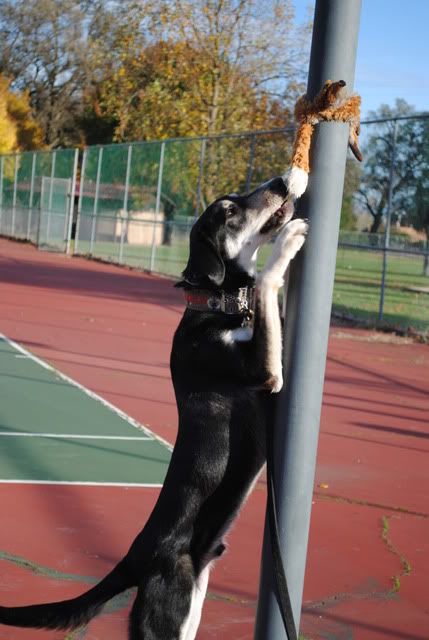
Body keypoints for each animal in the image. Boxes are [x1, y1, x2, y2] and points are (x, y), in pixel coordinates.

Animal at [0, 176, 308, 639]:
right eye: (229, 211)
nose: (277, 182)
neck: (214, 304)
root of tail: (135, 555)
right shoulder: (264, 372)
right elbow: (267, 283)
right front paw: (288, 241)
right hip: (168, 613)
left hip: (190, 610)